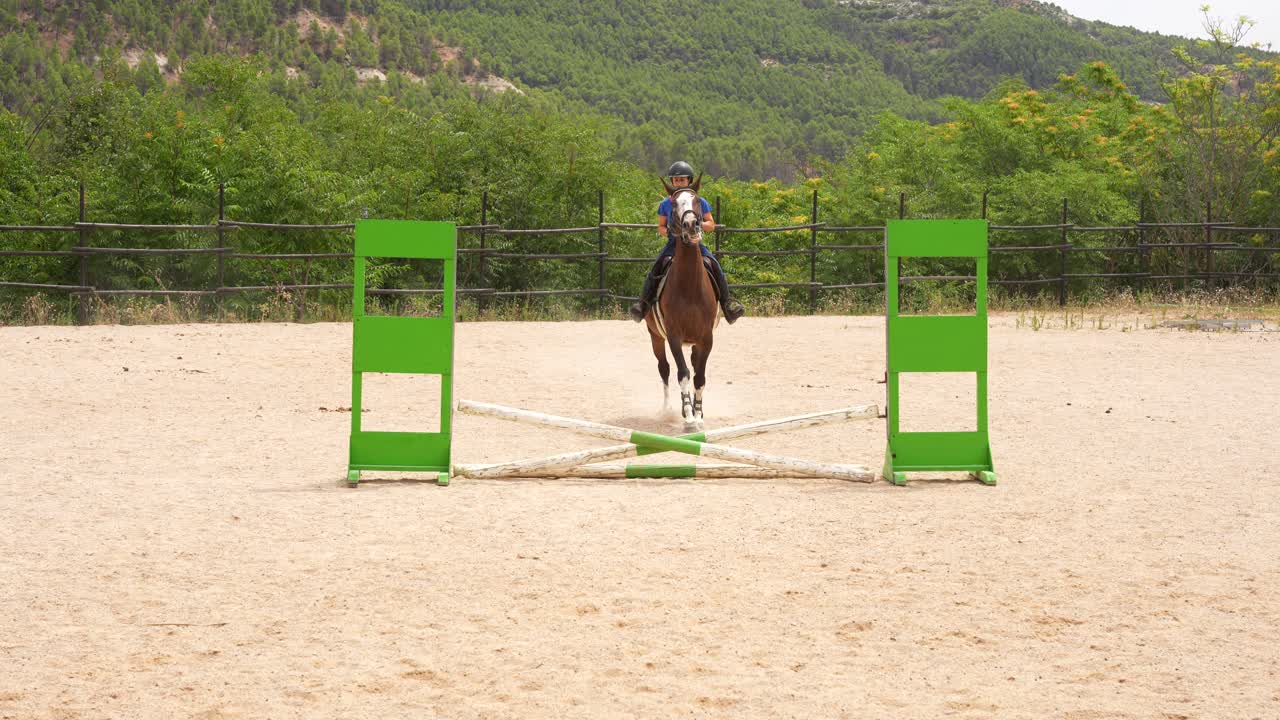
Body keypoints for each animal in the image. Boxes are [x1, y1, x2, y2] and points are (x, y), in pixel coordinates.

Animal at [644, 174, 719, 427]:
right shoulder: (674, 336)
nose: (691, 225)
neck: (690, 289)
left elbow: (700, 377)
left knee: (693, 366)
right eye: (674, 204)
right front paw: (687, 415)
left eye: (696, 201)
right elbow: (683, 374)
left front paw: (699, 414)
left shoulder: (706, 339)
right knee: (665, 369)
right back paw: (668, 408)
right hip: (656, 337)